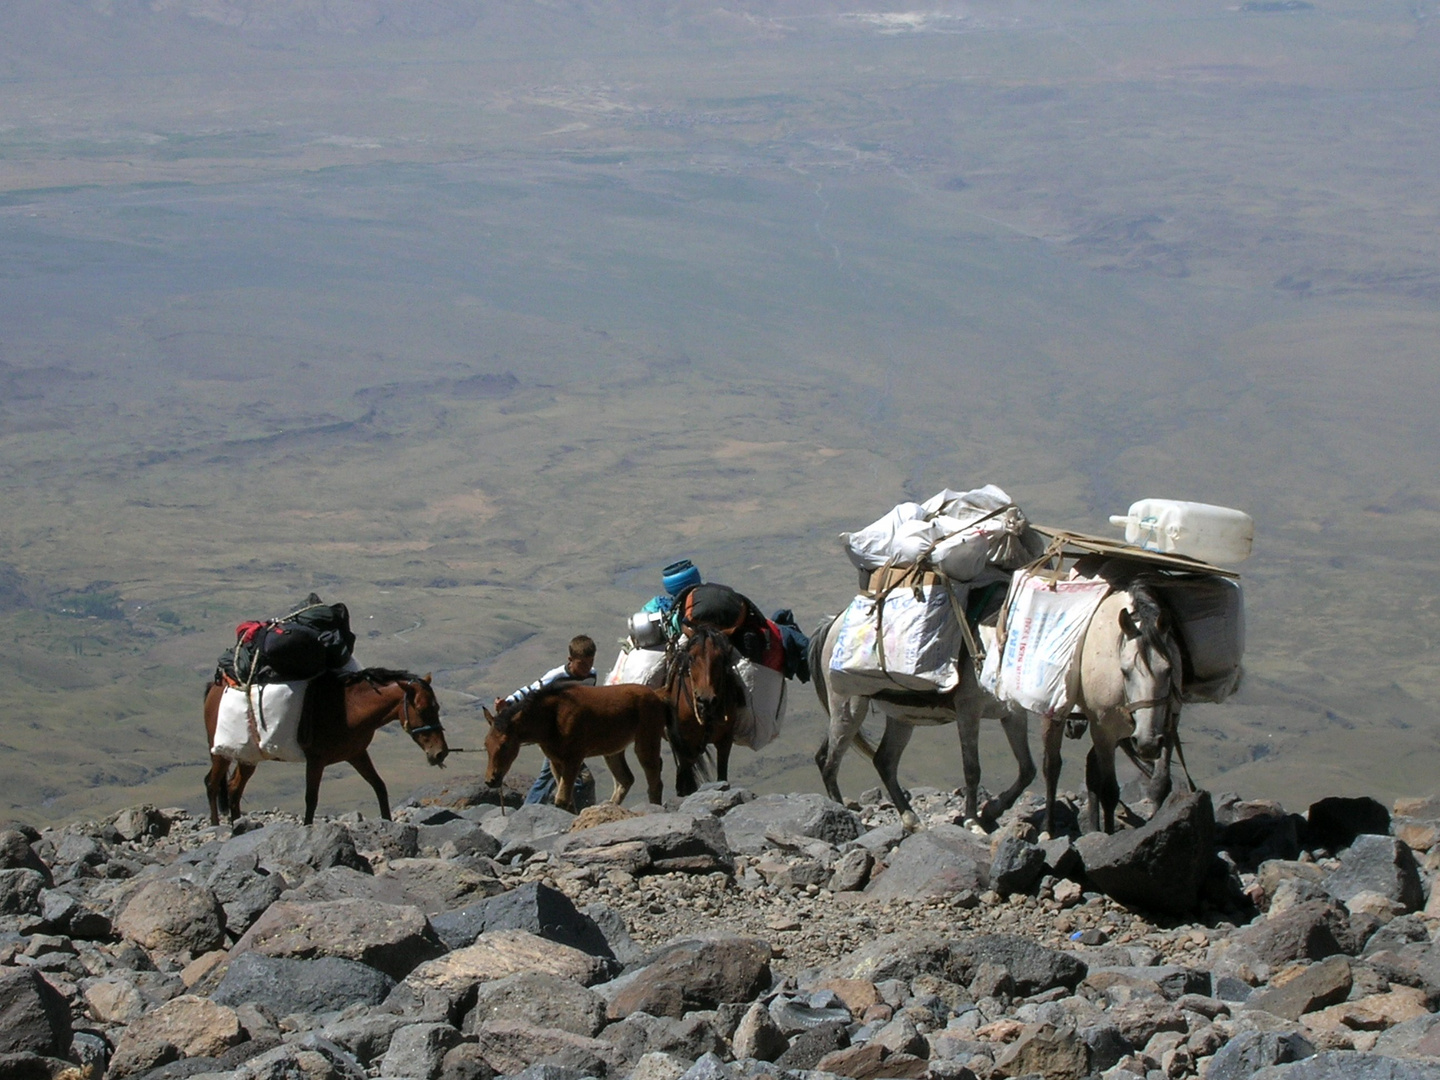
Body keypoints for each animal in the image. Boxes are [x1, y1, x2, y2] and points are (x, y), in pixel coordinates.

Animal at [204, 668, 449, 829]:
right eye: (421, 708)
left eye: (437, 707)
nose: (440, 752)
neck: (349, 709)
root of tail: (214, 688)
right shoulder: (316, 761)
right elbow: (311, 799)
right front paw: (307, 829)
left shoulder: (357, 755)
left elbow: (379, 786)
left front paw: (387, 822)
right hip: (222, 753)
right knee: (212, 784)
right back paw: (216, 828)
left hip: (247, 756)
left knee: (234, 788)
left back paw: (237, 828)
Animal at [480, 685, 665, 812]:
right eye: (486, 744)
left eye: (505, 744)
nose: (490, 780)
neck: (550, 720)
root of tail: (657, 695)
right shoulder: (556, 761)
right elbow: (567, 801)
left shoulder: (574, 758)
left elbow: (562, 799)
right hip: (613, 751)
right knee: (625, 779)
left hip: (646, 742)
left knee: (654, 782)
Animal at [668, 630, 748, 800]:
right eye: (691, 657)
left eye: (720, 658)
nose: (706, 700)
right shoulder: (684, 746)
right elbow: (687, 781)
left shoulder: (725, 741)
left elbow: (722, 775)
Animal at [812, 613, 1036, 835]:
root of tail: (832, 624)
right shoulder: (969, 711)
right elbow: (972, 770)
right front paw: (973, 822)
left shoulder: (1014, 714)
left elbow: (1027, 769)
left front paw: (991, 811)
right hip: (849, 707)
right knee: (830, 764)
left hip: (900, 717)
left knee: (883, 761)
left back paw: (913, 821)